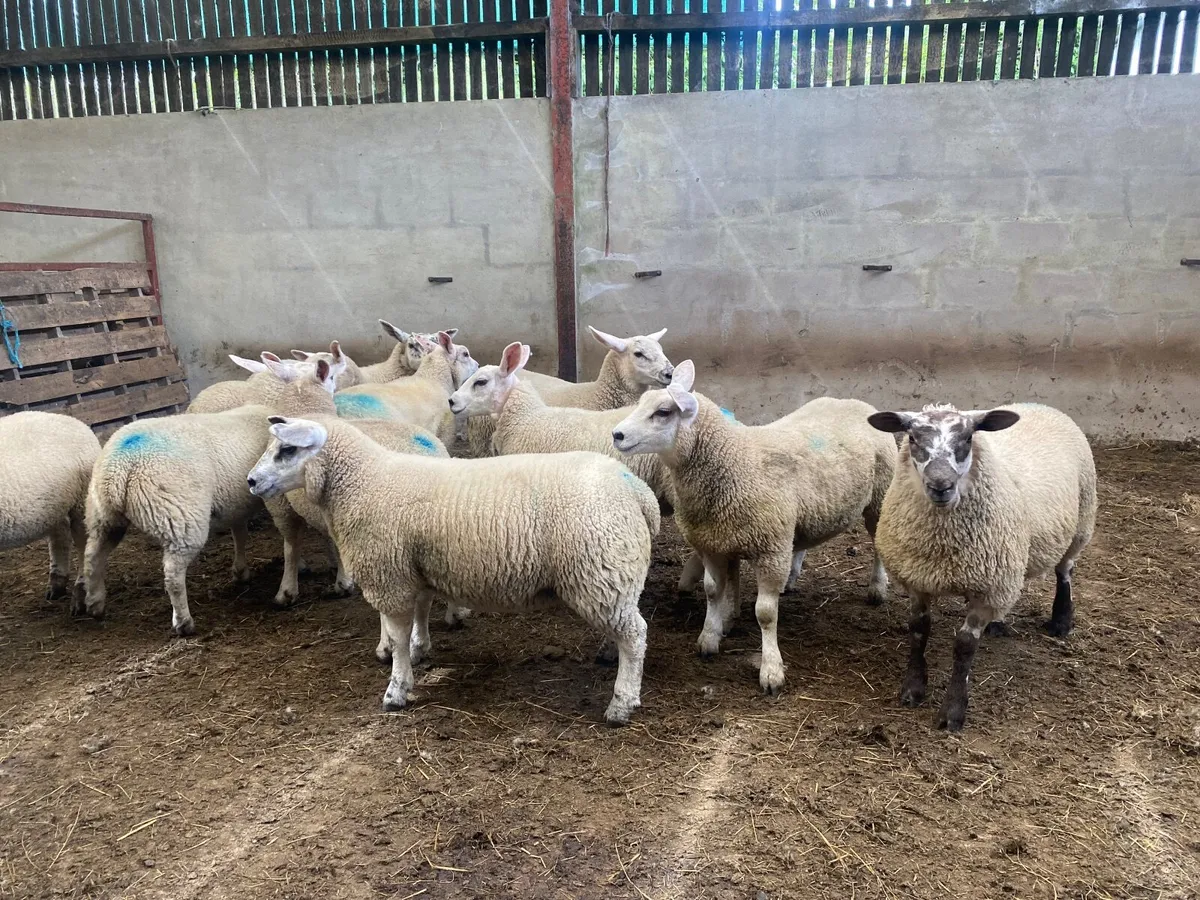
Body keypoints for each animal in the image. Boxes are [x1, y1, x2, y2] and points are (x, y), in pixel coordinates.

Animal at [0, 412, 101, 604]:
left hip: (81, 496)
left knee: (83, 542)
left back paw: (80, 593)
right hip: (52, 504)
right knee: (60, 535)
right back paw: (57, 584)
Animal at [77, 358, 339, 635]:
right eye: (330, 376)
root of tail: (119, 467)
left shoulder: (236, 502)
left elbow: (241, 534)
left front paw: (241, 571)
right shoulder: (279, 500)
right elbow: (296, 538)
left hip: (102, 516)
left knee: (92, 556)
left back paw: (95, 603)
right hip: (180, 518)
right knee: (173, 573)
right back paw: (183, 622)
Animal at [246, 415, 659, 724]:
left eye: (287, 449)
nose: (251, 481)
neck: (364, 482)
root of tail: (636, 491)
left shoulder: (390, 575)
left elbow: (396, 637)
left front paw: (397, 688)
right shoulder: (417, 567)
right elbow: (422, 610)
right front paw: (420, 648)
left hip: (597, 567)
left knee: (636, 635)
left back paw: (621, 703)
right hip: (611, 574)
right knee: (627, 627)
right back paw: (611, 657)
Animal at [612, 361, 896, 695]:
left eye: (663, 412)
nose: (617, 434)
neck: (735, 460)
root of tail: (854, 402)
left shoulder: (770, 548)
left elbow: (765, 613)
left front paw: (771, 670)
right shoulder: (713, 543)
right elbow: (712, 591)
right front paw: (709, 638)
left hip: (879, 498)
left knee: (877, 545)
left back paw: (877, 588)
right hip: (807, 514)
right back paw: (792, 579)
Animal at [866, 402, 1097, 732]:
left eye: (967, 438)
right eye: (912, 438)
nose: (941, 486)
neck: (941, 545)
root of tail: (1038, 405)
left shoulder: (987, 589)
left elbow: (964, 646)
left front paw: (952, 712)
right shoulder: (919, 579)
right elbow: (918, 630)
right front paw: (912, 688)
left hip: (1080, 524)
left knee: (1065, 572)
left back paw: (1061, 621)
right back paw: (998, 624)